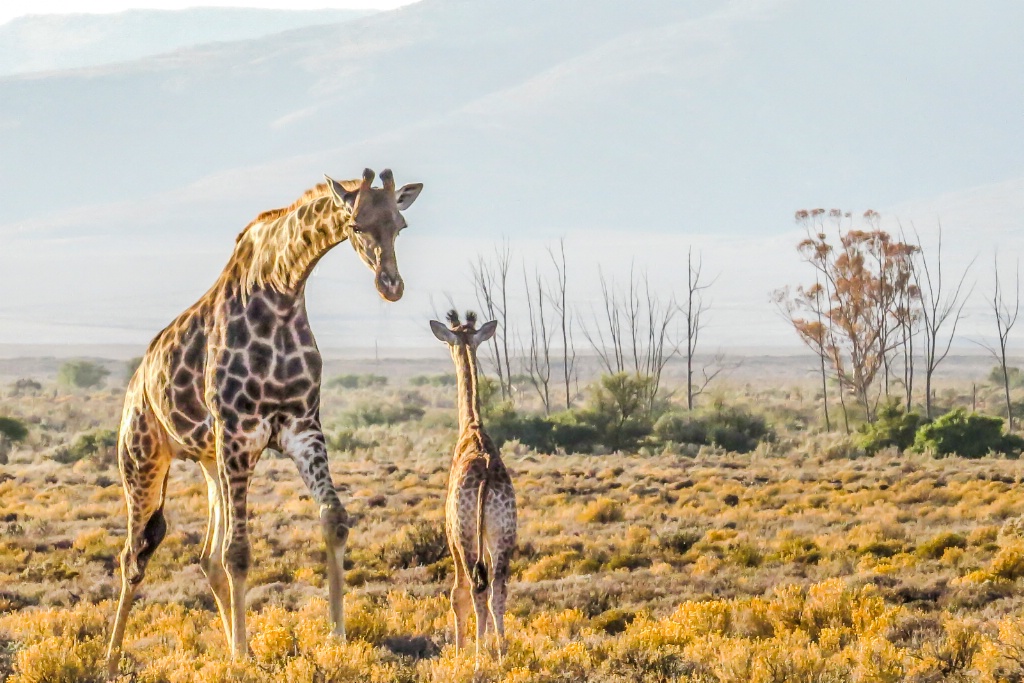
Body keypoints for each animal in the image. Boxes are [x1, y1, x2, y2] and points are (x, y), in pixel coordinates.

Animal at [105, 167, 421, 675]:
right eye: (355, 225)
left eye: (400, 225)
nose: (390, 285)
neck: (282, 294)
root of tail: (137, 382)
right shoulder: (239, 432)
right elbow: (239, 552)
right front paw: (241, 657)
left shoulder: (301, 428)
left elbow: (335, 519)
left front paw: (336, 637)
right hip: (143, 461)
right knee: (133, 556)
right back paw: (112, 664)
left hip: (211, 462)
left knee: (205, 558)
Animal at [430, 311, 520, 667]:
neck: (472, 428)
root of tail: (485, 481)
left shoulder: (451, 535)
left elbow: (456, 594)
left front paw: (459, 654)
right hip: (504, 534)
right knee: (498, 590)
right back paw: (503, 653)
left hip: (467, 535)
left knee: (475, 589)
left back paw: (481, 657)